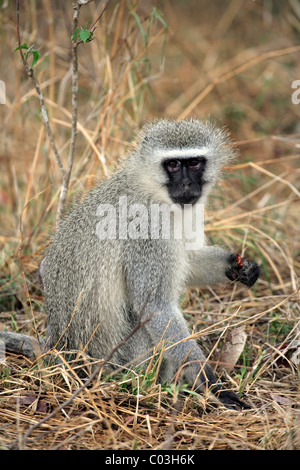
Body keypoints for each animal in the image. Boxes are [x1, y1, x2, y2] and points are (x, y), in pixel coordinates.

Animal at [1, 120, 260, 408]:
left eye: (194, 163)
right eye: (172, 165)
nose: (185, 184)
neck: (153, 188)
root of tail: (61, 349)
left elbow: (189, 261)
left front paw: (238, 267)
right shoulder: (148, 228)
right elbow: (156, 307)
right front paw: (207, 379)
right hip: (118, 359)